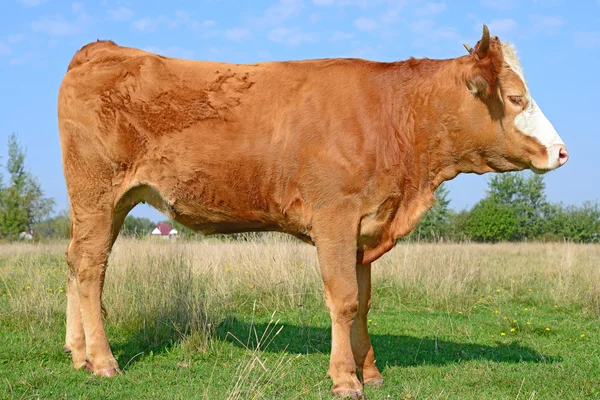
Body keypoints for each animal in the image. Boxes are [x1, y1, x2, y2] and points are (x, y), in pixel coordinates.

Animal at [57, 26, 568, 398]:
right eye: (517, 98)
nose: (562, 152)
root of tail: (101, 48)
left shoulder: (365, 227)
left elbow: (364, 302)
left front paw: (371, 371)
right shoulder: (335, 218)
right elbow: (343, 299)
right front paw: (345, 379)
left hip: (103, 205)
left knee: (75, 262)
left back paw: (78, 353)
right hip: (98, 195)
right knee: (92, 270)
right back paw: (103, 361)